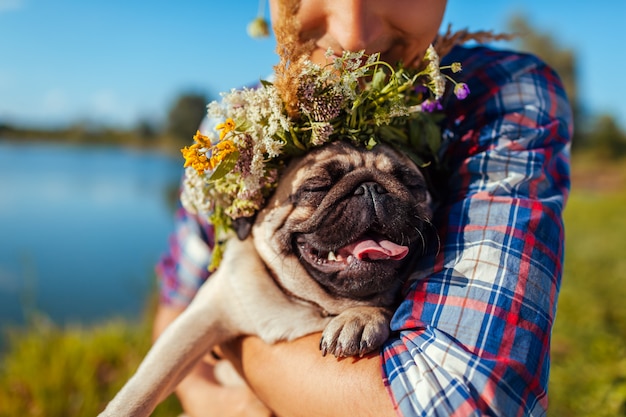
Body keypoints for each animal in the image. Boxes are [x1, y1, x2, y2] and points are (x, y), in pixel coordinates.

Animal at [98, 141, 434, 416]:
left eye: (411, 184)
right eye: (316, 187)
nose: (370, 188)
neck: (310, 305)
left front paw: (361, 317)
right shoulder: (199, 320)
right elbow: (143, 388)